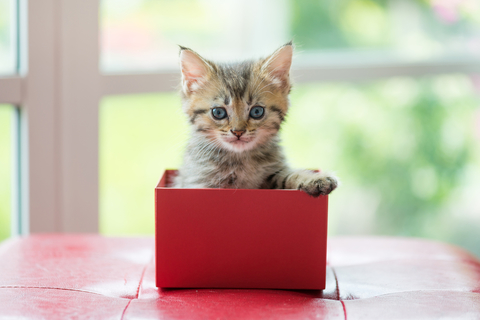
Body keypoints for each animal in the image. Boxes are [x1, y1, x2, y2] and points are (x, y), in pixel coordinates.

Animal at [172, 42, 338, 198]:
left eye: (257, 111)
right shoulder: (196, 181)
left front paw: (313, 179)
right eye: (218, 112)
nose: (238, 132)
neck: (240, 159)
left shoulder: (273, 172)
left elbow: (287, 175)